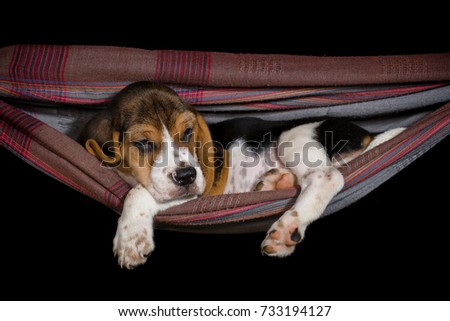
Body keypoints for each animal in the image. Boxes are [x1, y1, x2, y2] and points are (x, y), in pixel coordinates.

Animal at [79, 81, 374, 268]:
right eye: (143, 143)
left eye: (188, 132)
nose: (187, 177)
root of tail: (366, 134)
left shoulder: (201, 190)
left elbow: (138, 191)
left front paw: (131, 236)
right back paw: (274, 182)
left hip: (292, 137)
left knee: (328, 177)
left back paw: (288, 225)